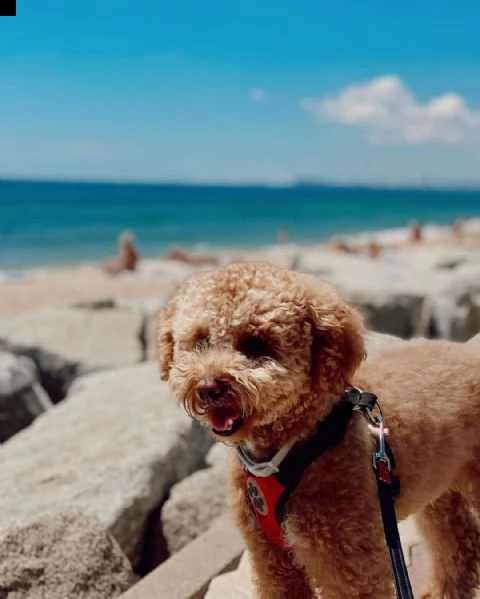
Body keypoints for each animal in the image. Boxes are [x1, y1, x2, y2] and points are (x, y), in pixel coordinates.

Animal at [159, 264, 480, 599]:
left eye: (256, 343)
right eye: (200, 340)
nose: (208, 387)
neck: (294, 446)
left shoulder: (347, 560)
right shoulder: (269, 555)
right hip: (440, 485)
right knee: (459, 540)